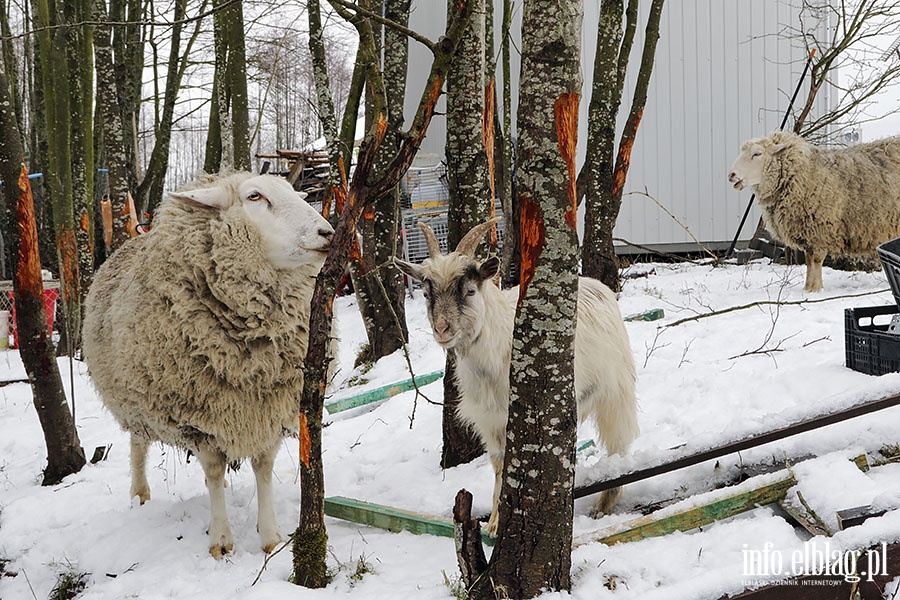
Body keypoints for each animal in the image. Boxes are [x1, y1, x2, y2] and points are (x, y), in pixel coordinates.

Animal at [81, 173, 332, 556]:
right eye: (255, 197)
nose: (327, 232)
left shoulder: (270, 408)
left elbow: (263, 468)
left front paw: (270, 536)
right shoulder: (195, 416)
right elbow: (212, 471)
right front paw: (222, 541)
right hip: (138, 397)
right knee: (138, 446)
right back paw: (140, 494)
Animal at [396, 217, 640, 536]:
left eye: (470, 291)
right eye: (427, 294)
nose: (442, 329)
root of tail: (594, 284)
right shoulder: (491, 421)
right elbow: (500, 466)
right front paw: (494, 523)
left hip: (615, 389)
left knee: (618, 439)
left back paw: (606, 503)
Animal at [728, 131, 900, 290]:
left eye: (757, 153)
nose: (731, 175)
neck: (804, 173)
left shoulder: (820, 230)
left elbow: (816, 261)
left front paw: (816, 289)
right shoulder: (808, 233)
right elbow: (809, 261)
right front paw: (808, 288)